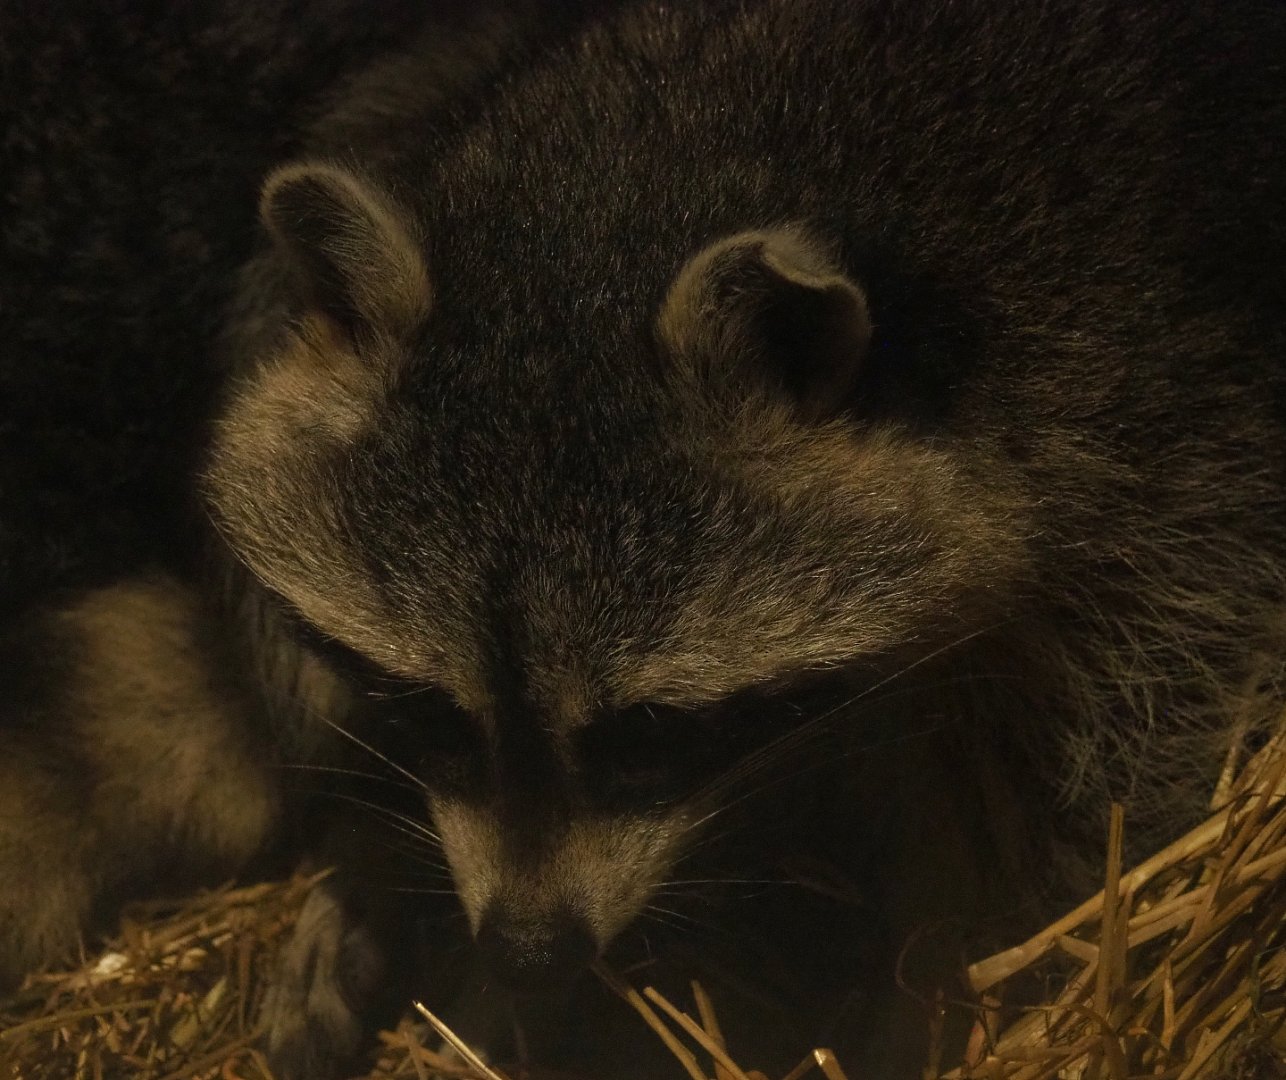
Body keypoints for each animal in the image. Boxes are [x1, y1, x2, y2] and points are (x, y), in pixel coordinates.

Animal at [6, 0, 1286, 1076]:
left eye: (648, 732)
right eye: (432, 710)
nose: (527, 948)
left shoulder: (1152, 415)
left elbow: (1127, 756)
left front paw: (952, 969)